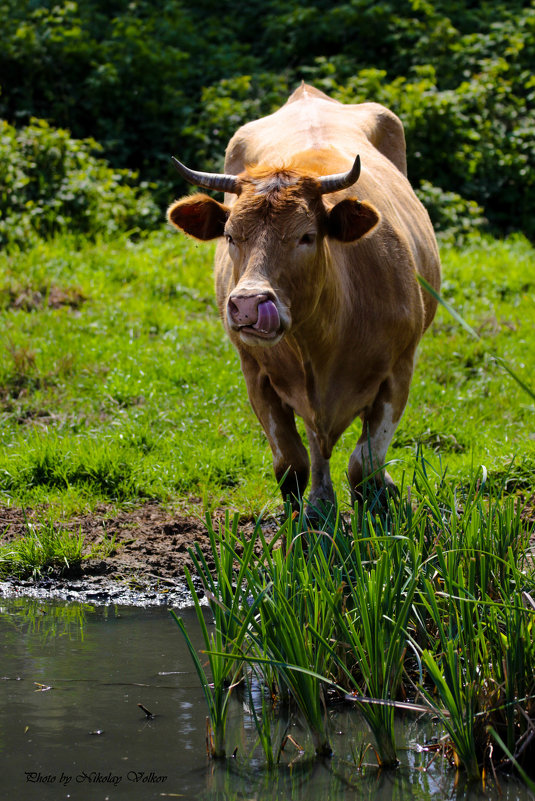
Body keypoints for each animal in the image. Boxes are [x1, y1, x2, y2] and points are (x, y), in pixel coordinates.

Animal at [166, 83, 440, 512]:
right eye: (229, 234)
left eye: (306, 236)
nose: (248, 304)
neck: (322, 336)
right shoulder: (255, 371)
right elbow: (291, 464)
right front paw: (306, 515)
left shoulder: (400, 368)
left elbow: (365, 464)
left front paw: (380, 502)